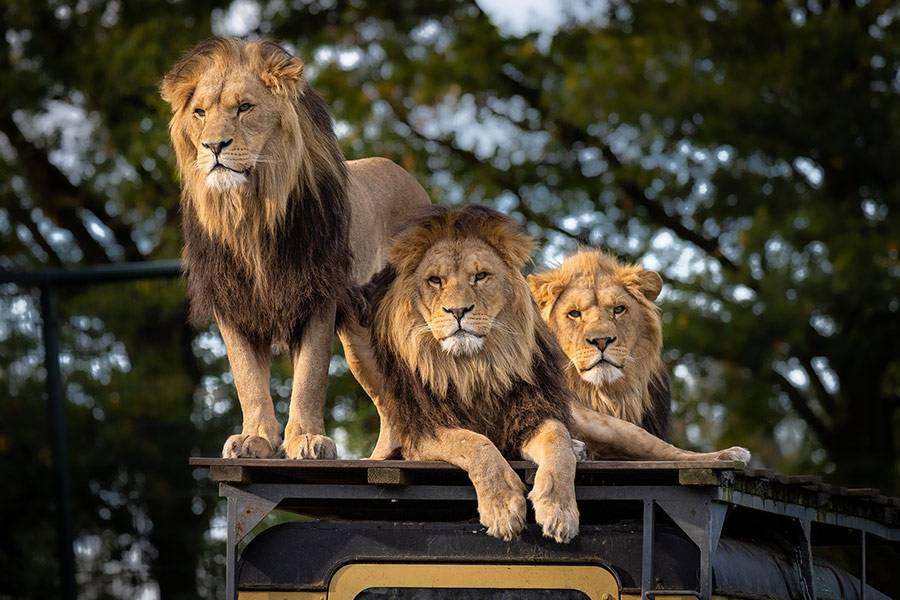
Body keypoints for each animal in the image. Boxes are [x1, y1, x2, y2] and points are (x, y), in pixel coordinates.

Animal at [160, 37, 429, 460]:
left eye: (244, 107)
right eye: (200, 113)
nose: (213, 146)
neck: (251, 214)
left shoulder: (317, 294)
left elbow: (310, 376)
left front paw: (306, 438)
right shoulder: (232, 300)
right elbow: (247, 379)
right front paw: (255, 438)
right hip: (360, 340)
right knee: (390, 401)